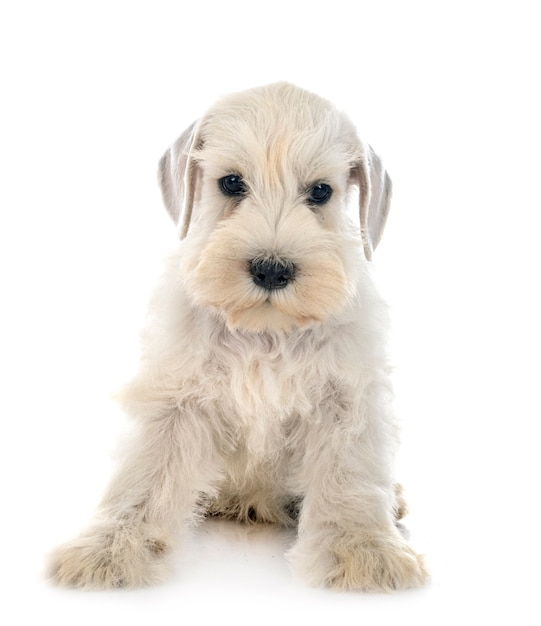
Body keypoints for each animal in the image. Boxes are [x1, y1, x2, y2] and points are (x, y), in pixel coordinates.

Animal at [48, 80, 426, 588]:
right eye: (231, 183)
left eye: (321, 192)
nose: (271, 270)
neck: (266, 331)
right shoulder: (176, 399)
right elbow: (144, 476)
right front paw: (108, 550)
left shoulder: (345, 400)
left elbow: (352, 480)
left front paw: (364, 551)